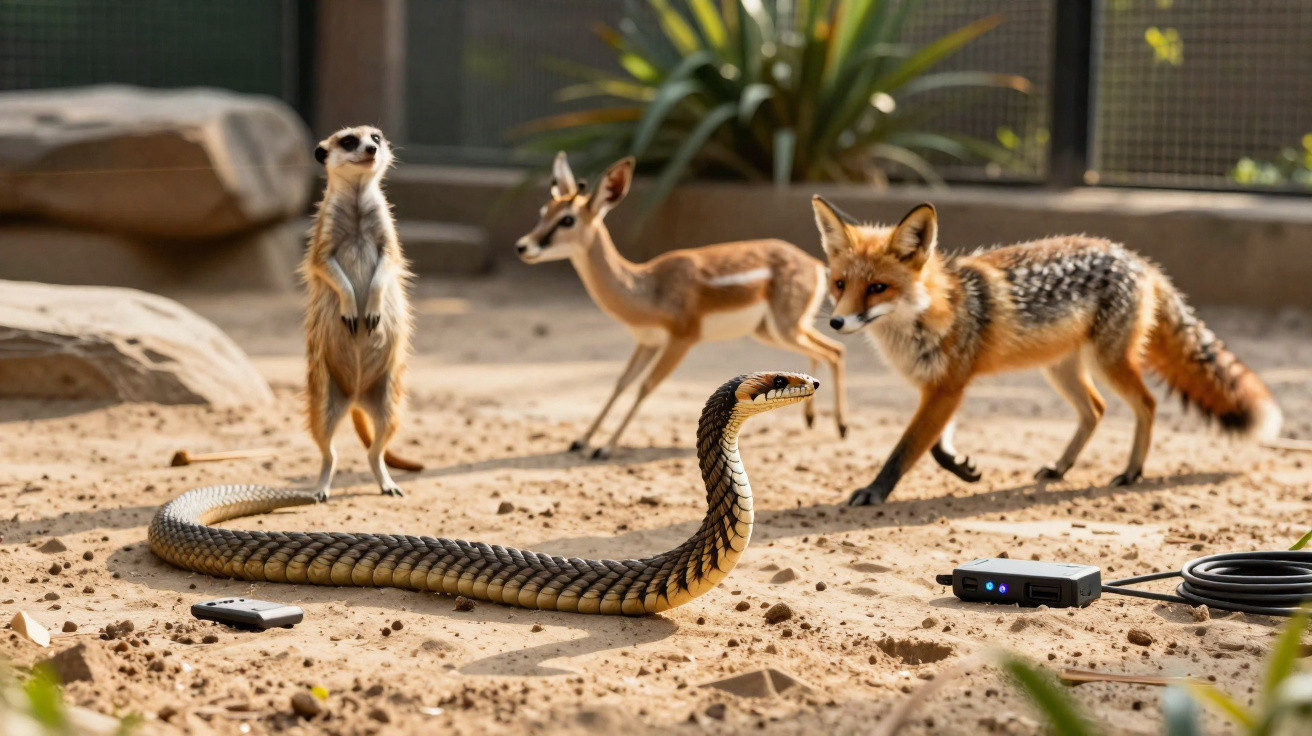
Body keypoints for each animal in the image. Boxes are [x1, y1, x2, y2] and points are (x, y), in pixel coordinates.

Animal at [515, 153, 847, 458]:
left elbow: (645, 386)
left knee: (835, 351)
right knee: (824, 351)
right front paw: (581, 441)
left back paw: (841, 428)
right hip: (773, 331)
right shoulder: (647, 341)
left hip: (784, 328)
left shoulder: (681, 341)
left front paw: (605, 447)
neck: (648, 288)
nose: (523, 246)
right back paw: (812, 419)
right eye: (544, 210)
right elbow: (621, 382)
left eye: (567, 219)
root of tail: (816, 264)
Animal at [812, 196, 1282, 506]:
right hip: (1062, 370)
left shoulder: (947, 387)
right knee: (1095, 410)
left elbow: (906, 449)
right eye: (840, 284)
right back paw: (1060, 468)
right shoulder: (944, 387)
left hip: (1108, 363)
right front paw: (963, 468)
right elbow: (935, 447)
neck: (933, 311)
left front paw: (874, 491)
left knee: (1146, 404)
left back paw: (1132, 472)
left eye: (878, 287)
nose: (836, 322)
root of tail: (1136, 258)